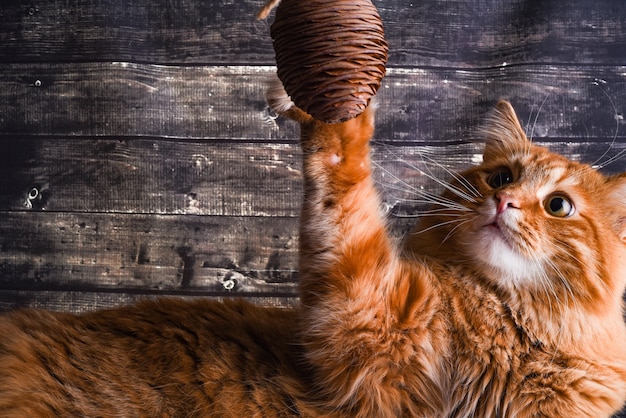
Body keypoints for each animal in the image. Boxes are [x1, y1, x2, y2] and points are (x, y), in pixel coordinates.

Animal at [3, 85, 624, 418]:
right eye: (499, 177)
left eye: (559, 205)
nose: (504, 202)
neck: (505, 322)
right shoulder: (363, 317)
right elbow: (343, 180)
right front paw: (337, 108)